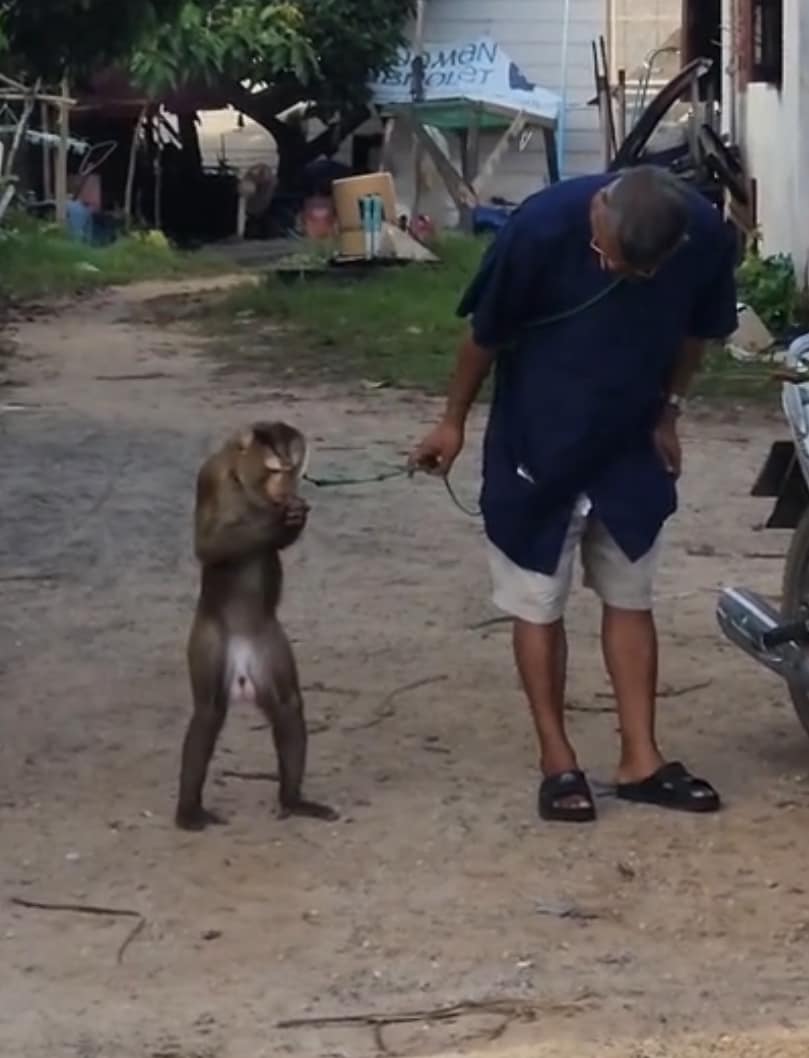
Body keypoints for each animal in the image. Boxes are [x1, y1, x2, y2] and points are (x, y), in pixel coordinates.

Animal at [176, 423, 338, 833]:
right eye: (273, 469)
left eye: (290, 469)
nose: (284, 488)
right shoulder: (211, 476)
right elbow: (208, 544)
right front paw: (279, 523)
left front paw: (292, 516)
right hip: (210, 641)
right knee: (208, 713)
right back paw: (188, 810)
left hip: (269, 645)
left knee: (287, 705)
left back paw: (294, 800)